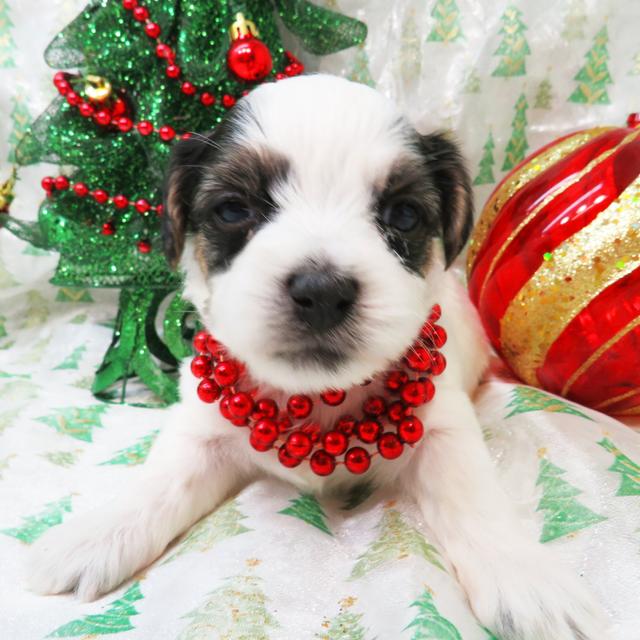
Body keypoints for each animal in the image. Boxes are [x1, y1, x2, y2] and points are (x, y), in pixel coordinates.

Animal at [27, 76, 608, 640]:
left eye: (403, 214)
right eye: (233, 210)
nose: (322, 291)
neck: (318, 399)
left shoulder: (444, 426)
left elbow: (474, 497)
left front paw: (524, 576)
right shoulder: (201, 428)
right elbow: (162, 479)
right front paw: (100, 531)